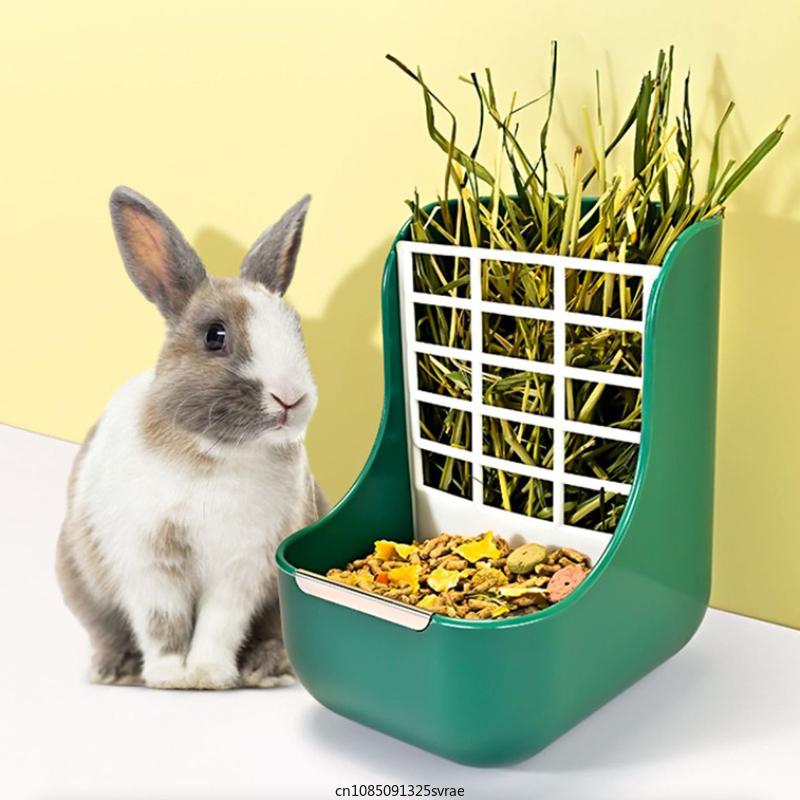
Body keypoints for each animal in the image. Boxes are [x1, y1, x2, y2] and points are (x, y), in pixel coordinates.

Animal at [55, 186, 329, 690]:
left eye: (296, 331)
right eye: (214, 336)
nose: (290, 398)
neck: (214, 453)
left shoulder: (241, 568)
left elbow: (219, 624)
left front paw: (206, 675)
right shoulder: (148, 562)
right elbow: (161, 622)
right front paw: (169, 677)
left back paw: (265, 670)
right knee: (107, 630)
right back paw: (115, 670)